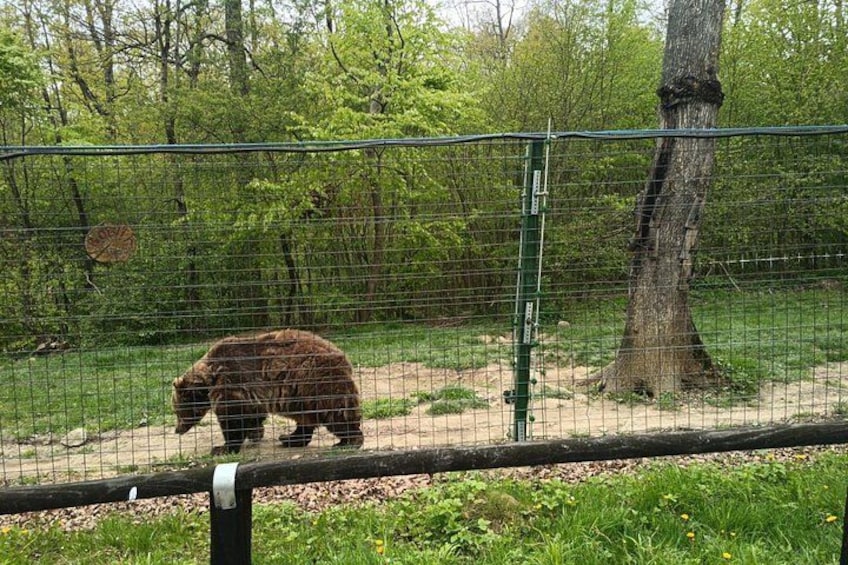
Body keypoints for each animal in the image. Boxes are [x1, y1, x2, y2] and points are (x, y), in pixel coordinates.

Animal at [172, 329, 363, 455]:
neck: (210, 378)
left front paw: (222, 448)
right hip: (299, 395)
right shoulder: (251, 391)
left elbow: (233, 416)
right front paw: (255, 433)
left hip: (316, 381)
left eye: (177, 411)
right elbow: (253, 413)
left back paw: (348, 441)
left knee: (336, 412)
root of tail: (342, 356)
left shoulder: (232, 381)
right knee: (306, 418)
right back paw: (289, 438)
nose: (177, 429)